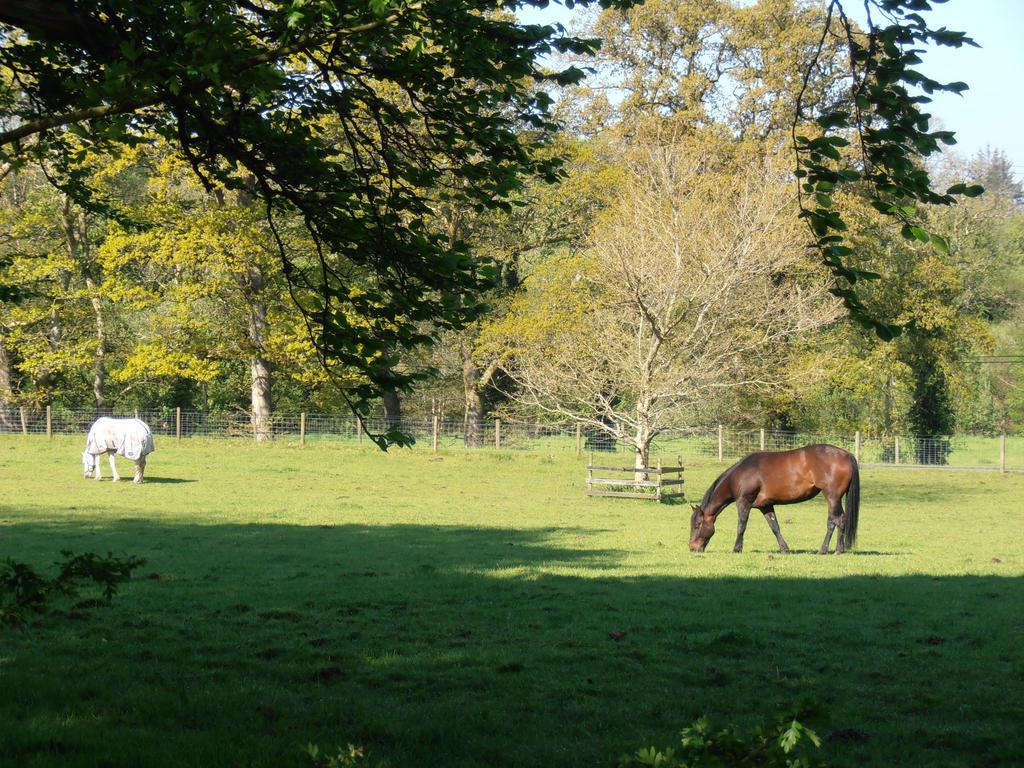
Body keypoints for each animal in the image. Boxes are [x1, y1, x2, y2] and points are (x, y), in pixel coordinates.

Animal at [692, 444, 860, 552]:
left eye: (697, 524)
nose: (692, 548)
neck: (740, 475)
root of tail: (847, 455)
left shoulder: (744, 502)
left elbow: (741, 525)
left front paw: (737, 549)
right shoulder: (765, 506)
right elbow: (775, 527)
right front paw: (784, 549)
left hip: (831, 496)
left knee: (834, 521)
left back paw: (825, 550)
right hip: (837, 498)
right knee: (842, 520)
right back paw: (839, 549)